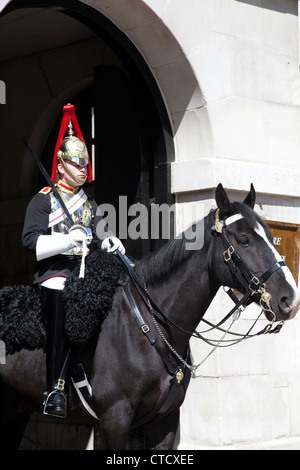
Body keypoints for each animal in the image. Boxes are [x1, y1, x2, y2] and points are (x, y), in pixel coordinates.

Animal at [0, 182, 300, 450]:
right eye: (244, 240)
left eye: (270, 236)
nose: (291, 299)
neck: (151, 328)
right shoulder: (114, 420)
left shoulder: (164, 423)